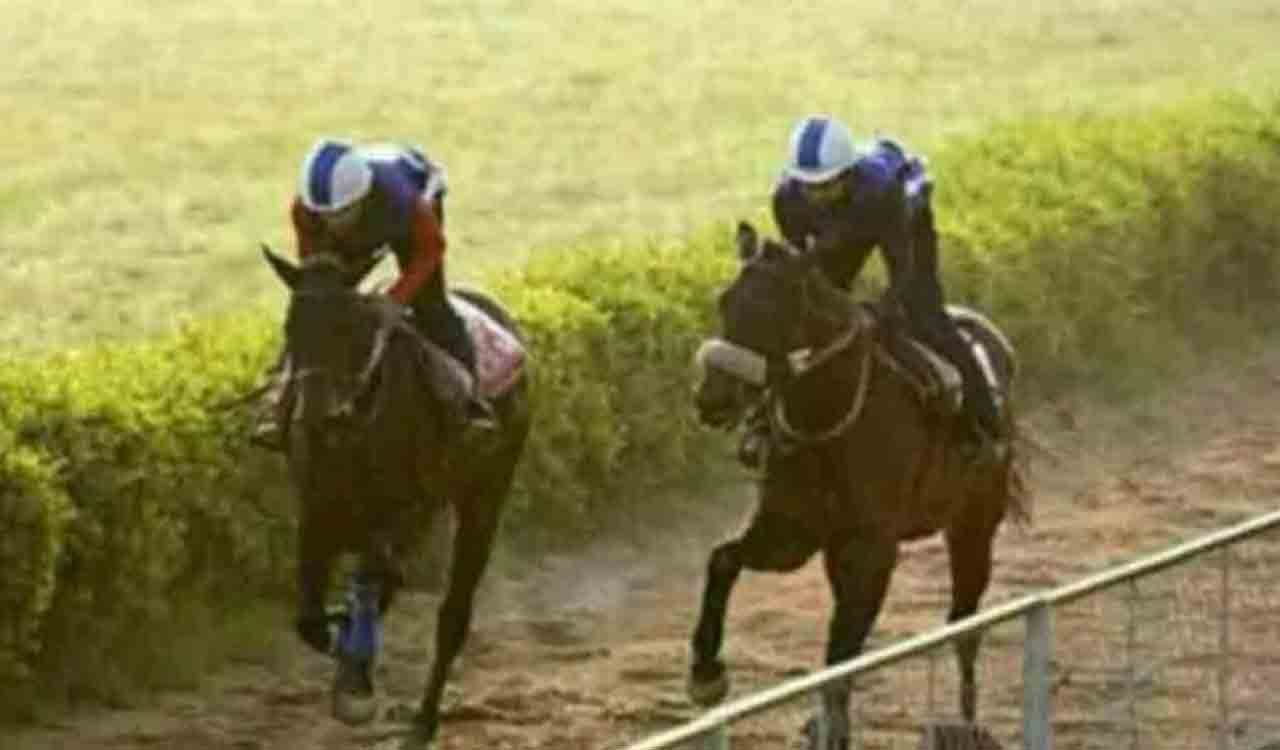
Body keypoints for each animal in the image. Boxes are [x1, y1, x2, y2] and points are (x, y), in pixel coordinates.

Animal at [261, 248, 532, 749]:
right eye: (290, 327)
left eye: (347, 328)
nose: (316, 416)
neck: (352, 435)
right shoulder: (317, 513)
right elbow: (310, 621)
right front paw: (347, 660)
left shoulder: (405, 510)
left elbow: (377, 577)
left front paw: (354, 680)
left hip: (485, 496)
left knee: (452, 616)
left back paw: (423, 721)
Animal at [687, 222, 1027, 748]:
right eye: (725, 300)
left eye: (773, 309)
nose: (712, 398)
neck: (830, 416)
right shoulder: (793, 532)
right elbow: (723, 558)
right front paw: (706, 672)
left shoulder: (872, 549)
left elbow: (840, 657)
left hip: (974, 522)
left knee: (965, 621)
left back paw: (965, 723)